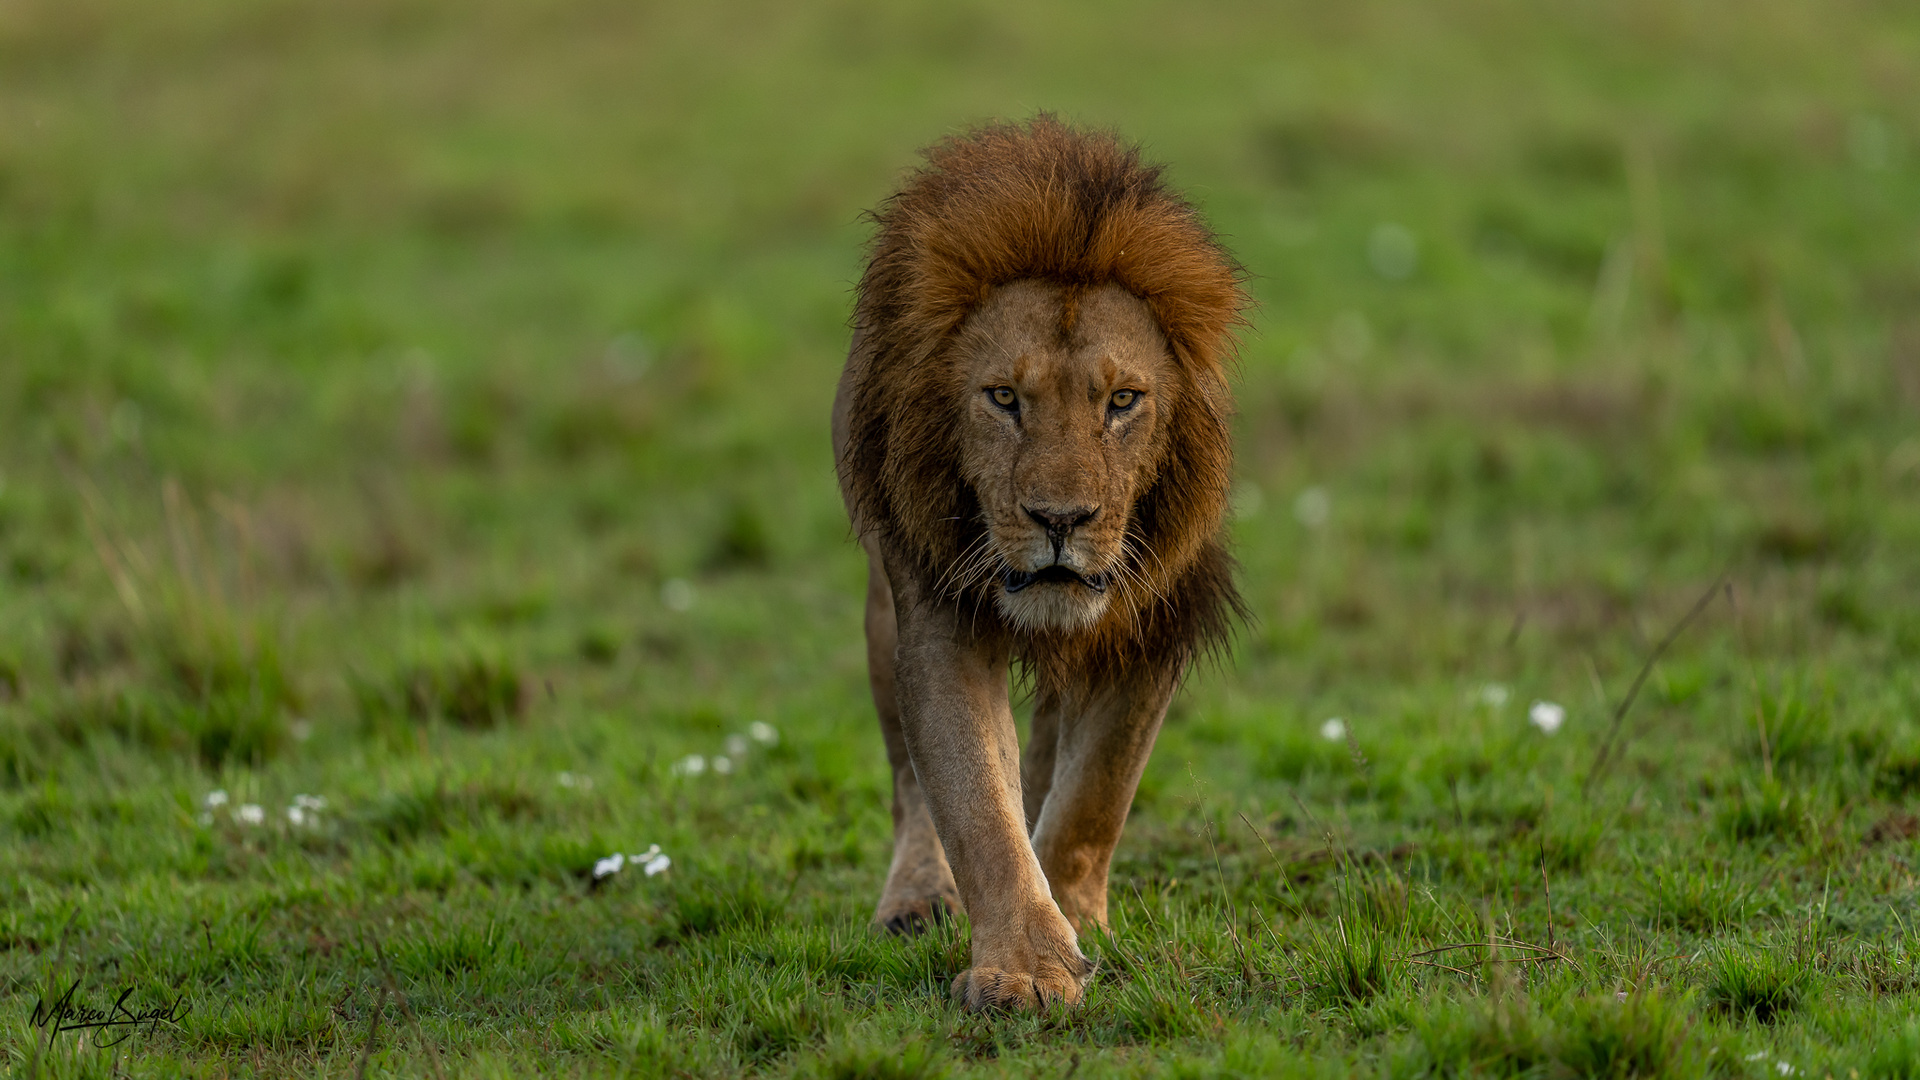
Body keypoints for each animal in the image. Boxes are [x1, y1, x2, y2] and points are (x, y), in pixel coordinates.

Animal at [833, 119, 1251, 1006]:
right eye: (1003, 398)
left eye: (1122, 401)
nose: (1061, 520)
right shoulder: (942, 616)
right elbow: (976, 804)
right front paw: (1021, 967)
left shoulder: (1153, 621)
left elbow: (1096, 794)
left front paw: (1077, 921)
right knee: (910, 783)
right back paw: (916, 898)